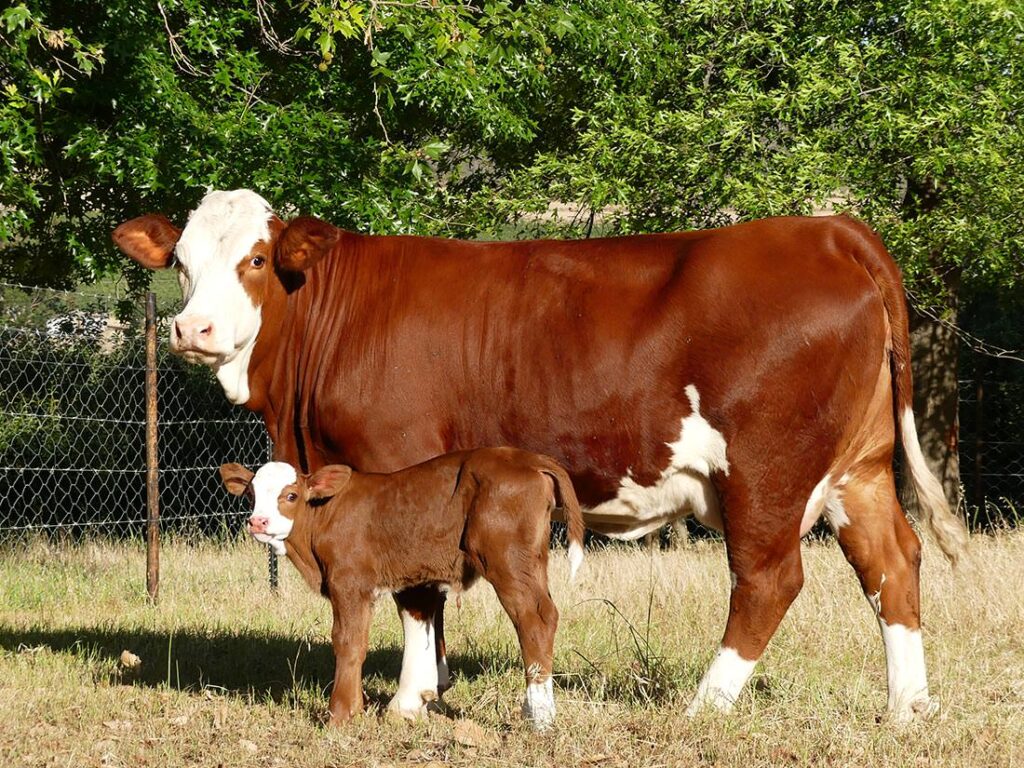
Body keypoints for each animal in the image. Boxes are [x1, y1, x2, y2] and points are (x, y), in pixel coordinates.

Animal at [219, 447, 585, 728]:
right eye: (251, 495)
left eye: (291, 495)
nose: (258, 522)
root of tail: (527, 458)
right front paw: (358, 707)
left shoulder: (349, 582)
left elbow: (348, 642)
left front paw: (341, 713)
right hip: (532, 560)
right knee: (546, 613)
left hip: (506, 559)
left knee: (533, 619)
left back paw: (538, 716)